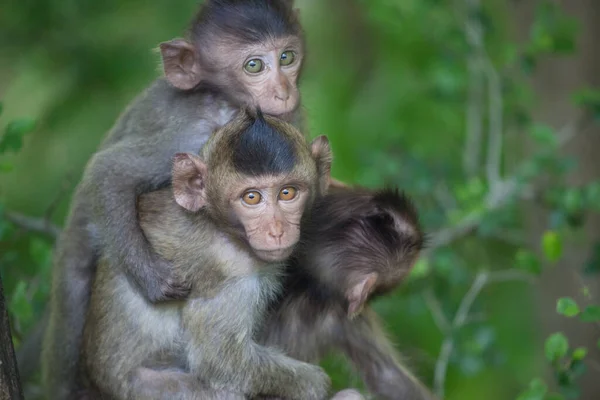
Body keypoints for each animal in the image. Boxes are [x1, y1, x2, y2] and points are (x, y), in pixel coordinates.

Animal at [41, 0, 312, 396]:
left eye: (287, 57)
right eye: (254, 66)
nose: (283, 92)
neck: (226, 104)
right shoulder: (191, 131)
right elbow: (111, 171)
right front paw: (155, 279)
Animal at [79, 111, 340, 400]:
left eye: (287, 192)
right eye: (251, 197)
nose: (276, 230)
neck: (219, 226)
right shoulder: (230, 276)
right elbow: (223, 362)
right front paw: (316, 384)